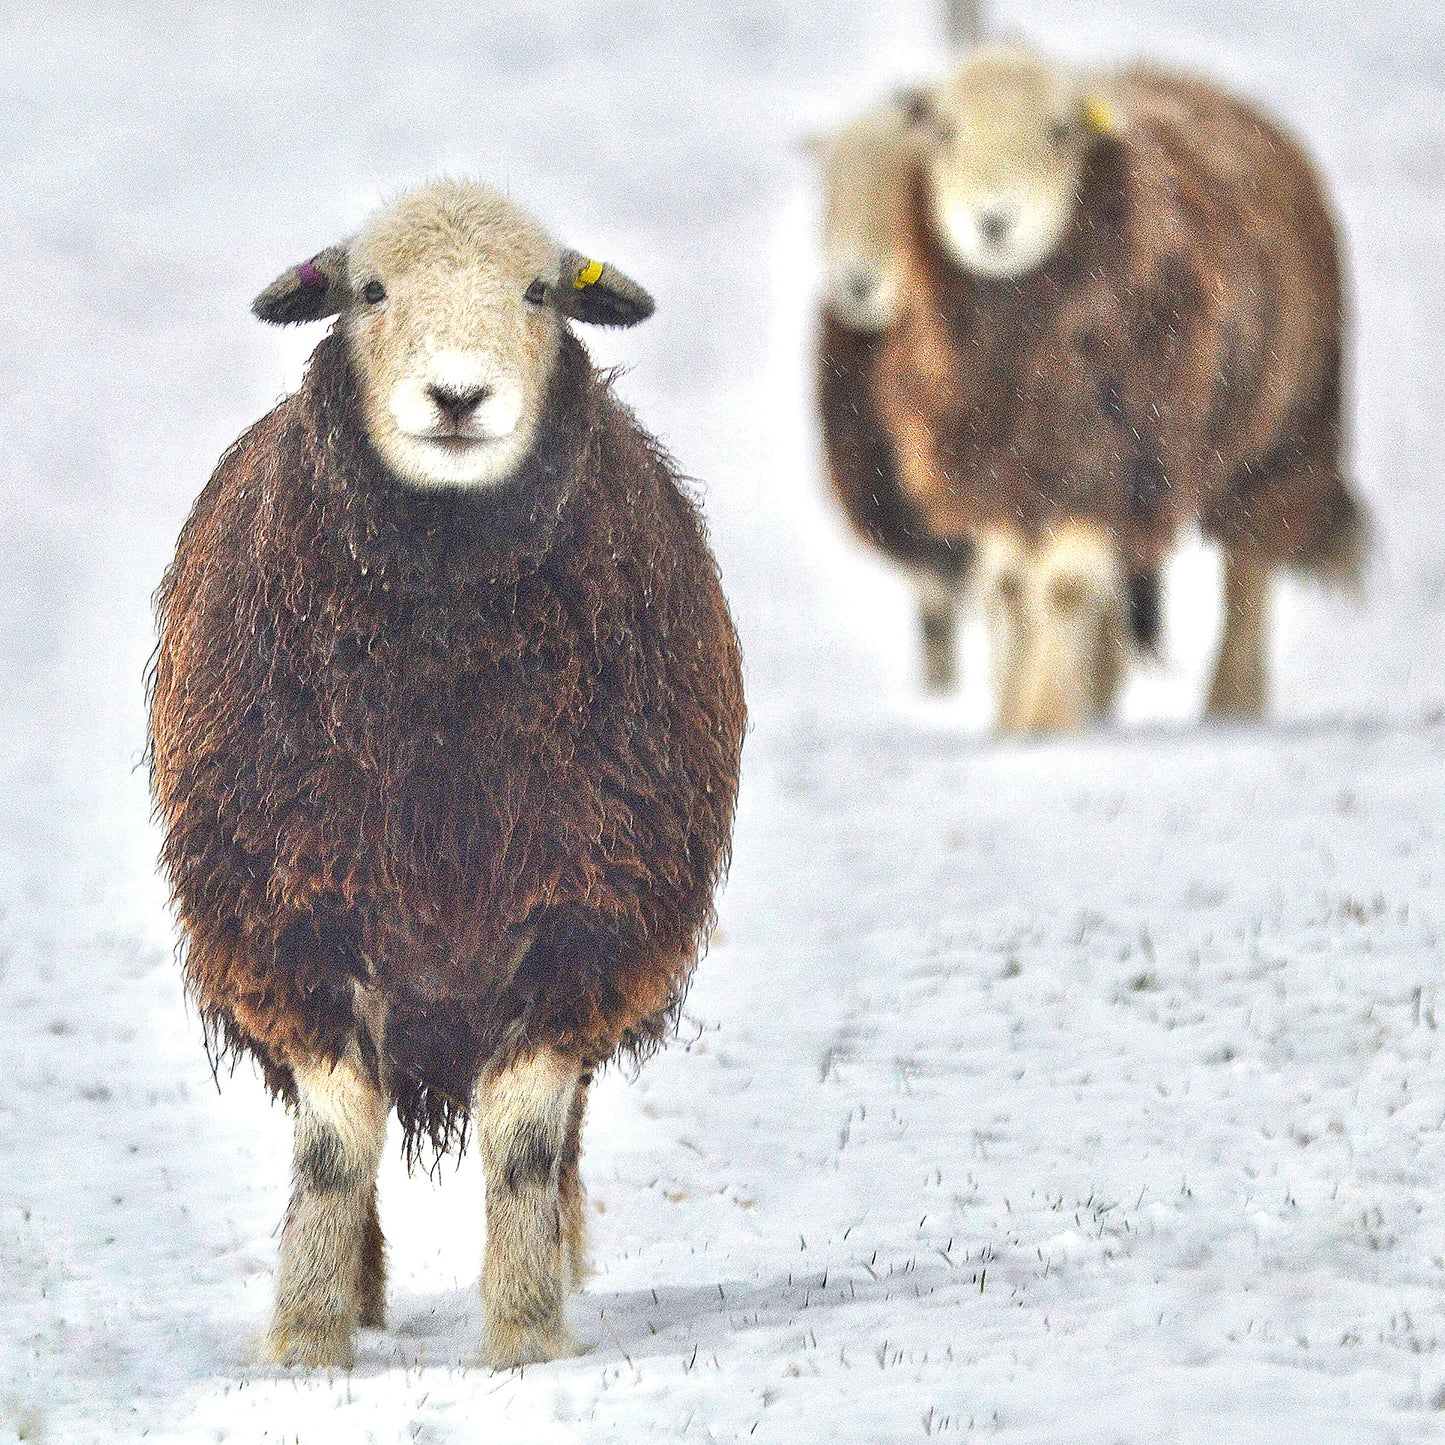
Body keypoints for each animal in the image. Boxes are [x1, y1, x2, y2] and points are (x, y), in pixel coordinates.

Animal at [149, 177, 745, 1364]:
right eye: (370, 291)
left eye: (540, 291)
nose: (458, 397)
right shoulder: (296, 915)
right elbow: (333, 1145)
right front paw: (308, 1338)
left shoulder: (581, 912)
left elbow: (523, 1141)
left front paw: (523, 1333)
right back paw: (368, 1289)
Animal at [872, 46, 1358, 734]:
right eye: (943, 132)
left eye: (1059, 131)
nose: (992, 223)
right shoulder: (992, 464)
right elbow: (1010, 589)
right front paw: (1017, 714)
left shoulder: (1112, 458)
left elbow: (1064, 589)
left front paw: (1046, 719)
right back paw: (1100, 694)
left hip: (1284, 437)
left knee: (1249, 571)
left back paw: (1233, 704)